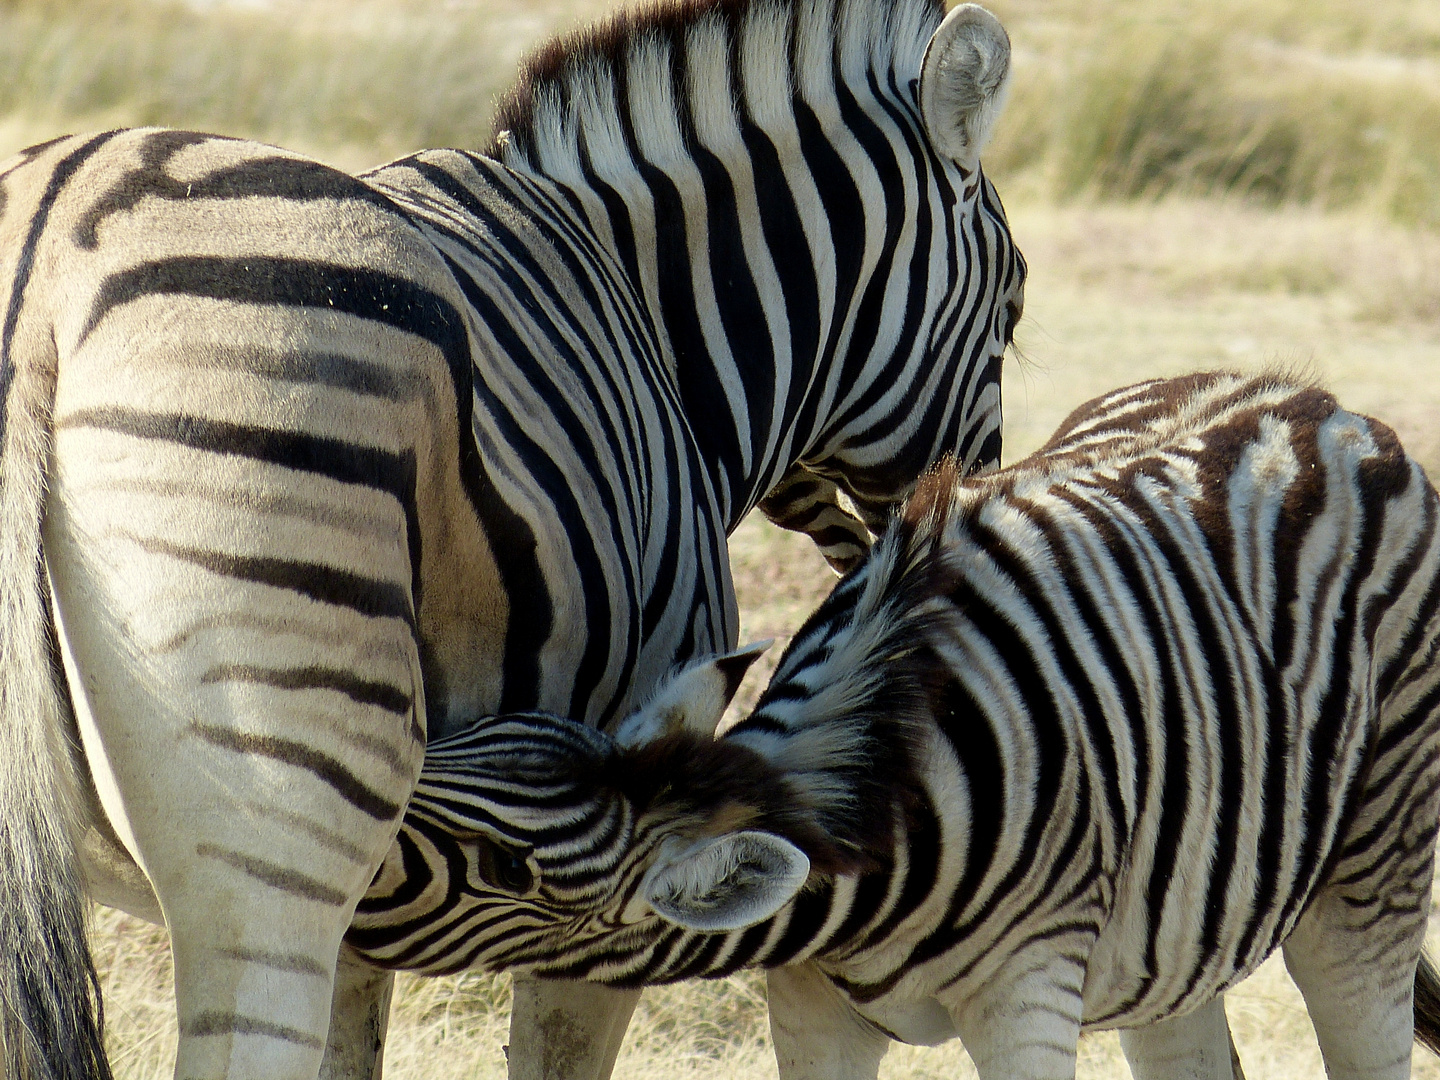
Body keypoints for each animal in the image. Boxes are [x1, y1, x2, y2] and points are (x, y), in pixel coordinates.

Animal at [0, 0, 1025, 1077]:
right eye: (1013, 301)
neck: (658, 327)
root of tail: (49, 275)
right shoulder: (609, 873)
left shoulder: (382, 913)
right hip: (281, 837)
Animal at [342, 374, 1440, 1080]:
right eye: (475, 740)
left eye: (506, 868)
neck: (883, 830)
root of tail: (1320, 406)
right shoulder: (808, 1007)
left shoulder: (1030, 997)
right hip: (1175, 937)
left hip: (1370, 880)